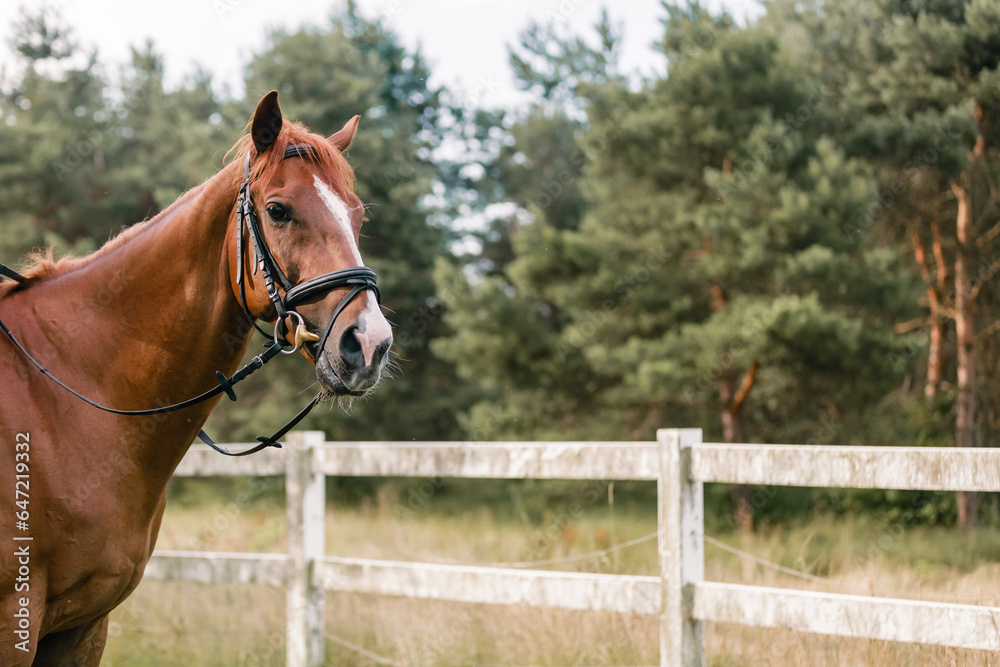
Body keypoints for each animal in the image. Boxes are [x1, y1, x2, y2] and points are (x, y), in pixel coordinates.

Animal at [0, 90, 393, 665]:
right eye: (278, 210)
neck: (65, 397)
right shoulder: (16, 621)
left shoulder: (83, 627)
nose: (369, 344)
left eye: (358, 216)